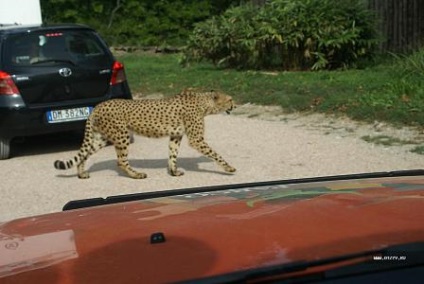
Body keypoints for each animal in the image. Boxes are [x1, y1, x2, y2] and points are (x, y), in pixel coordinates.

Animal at [53, 89, 235, 179]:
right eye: (230, 99)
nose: (234, 105)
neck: (205, 103)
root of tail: (98, 106)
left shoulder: (175, 136)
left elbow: (173, 154)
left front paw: (174, 172)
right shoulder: (196, 140)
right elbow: (215, 154)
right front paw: (229, 168)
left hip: (101, 138)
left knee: (85, 154)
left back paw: (81, 173)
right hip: (122, 135)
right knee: (121, 160)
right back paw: (136, 175)